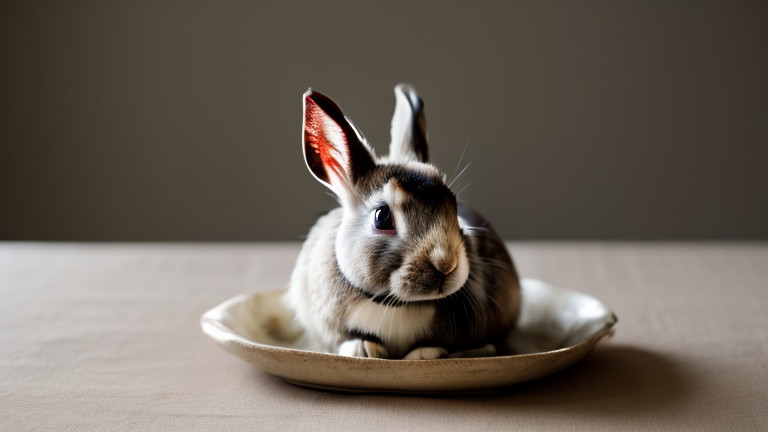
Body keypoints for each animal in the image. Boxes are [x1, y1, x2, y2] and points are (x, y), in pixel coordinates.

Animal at [284, 84, 521, 360]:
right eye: (382, 217)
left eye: (453, 205)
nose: (446, 264)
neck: (395, 304)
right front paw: (363, 349)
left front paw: (422, 354)